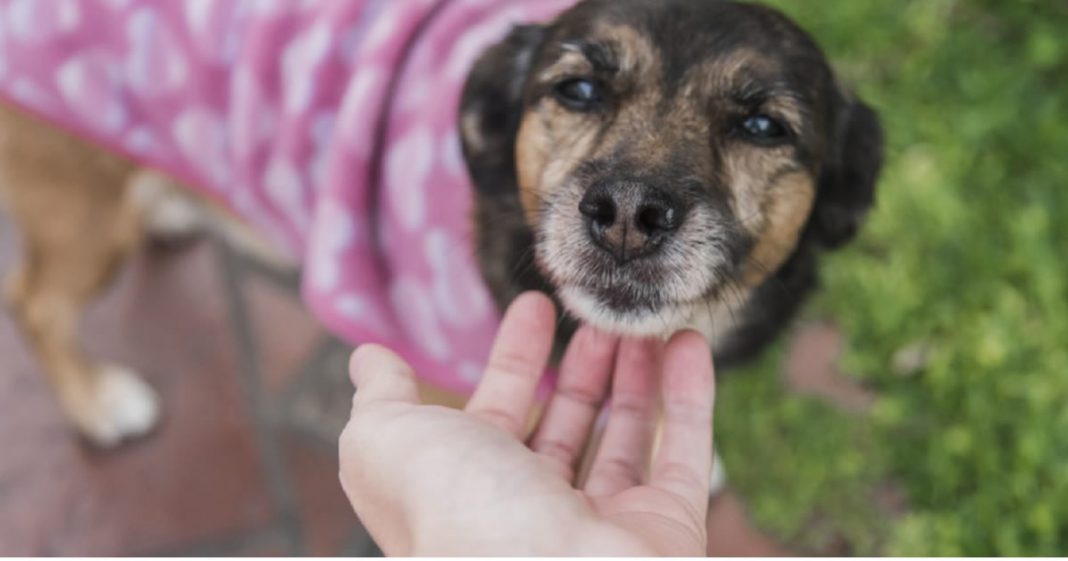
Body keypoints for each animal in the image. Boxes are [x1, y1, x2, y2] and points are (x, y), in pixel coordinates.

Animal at [0, 0, 884, 446]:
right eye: (578, 90)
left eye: (763, 127)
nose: (628, 215)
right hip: (76, 210)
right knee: (33, 302)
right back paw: (99, 405)